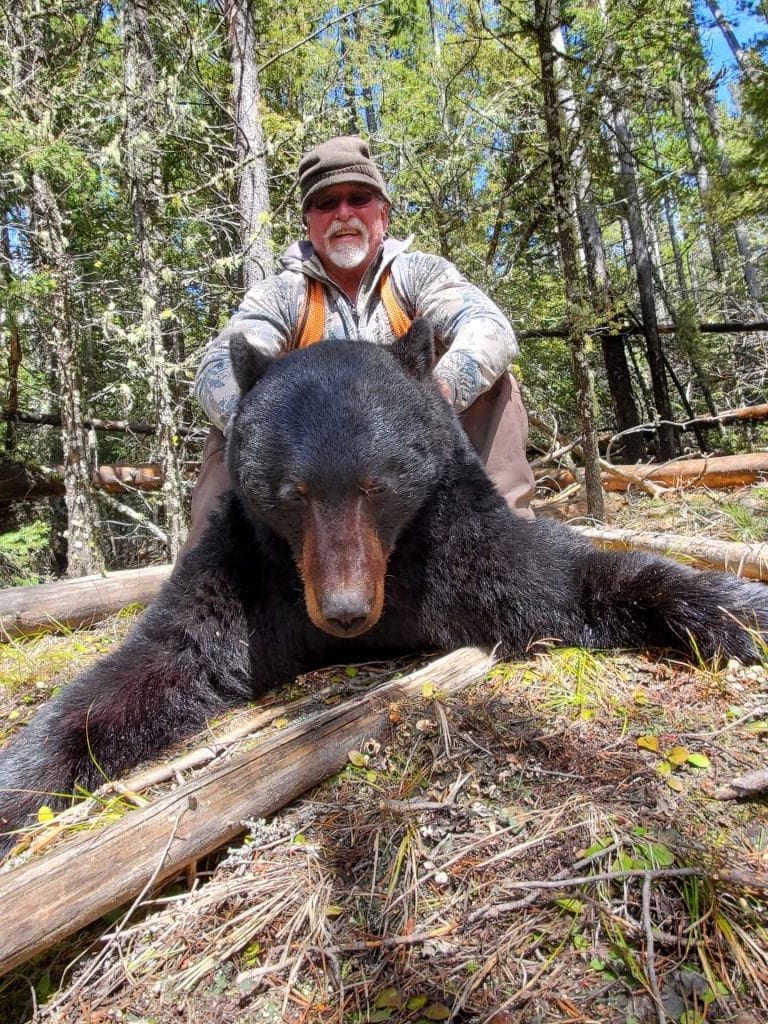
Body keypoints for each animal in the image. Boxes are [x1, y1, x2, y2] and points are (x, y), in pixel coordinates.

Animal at [0, 318, 766, 851]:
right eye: (293, 493)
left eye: (378, 486)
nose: (345, 613)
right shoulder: (248, 575)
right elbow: (150, 666)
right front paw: (20, 786)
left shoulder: (458, 549)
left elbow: (570, 577)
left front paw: (736, 609)